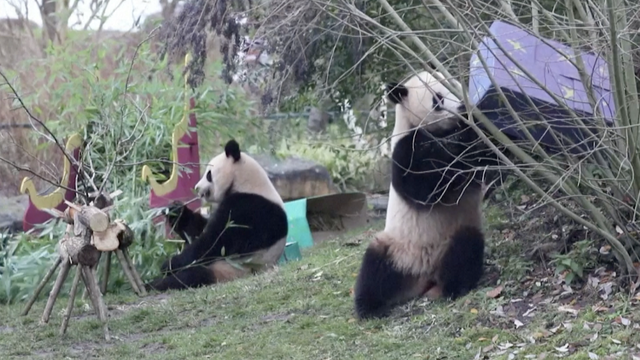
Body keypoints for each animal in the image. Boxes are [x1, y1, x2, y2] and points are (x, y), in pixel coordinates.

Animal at [146, 139, 288, 292]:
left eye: (209, 174)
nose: (196, 188)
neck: (246, 182)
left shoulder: (249, 209)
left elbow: (215, 241)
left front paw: (170, 264)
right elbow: (197, 229)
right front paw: (176, 211)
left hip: (228, 270)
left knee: (193, 276)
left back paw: (155, 284)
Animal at [356, 69, 504, 320]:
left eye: (455, 85)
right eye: (438, 99)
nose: (462, 107)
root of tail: (423, 277)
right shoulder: (405, 147)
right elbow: (424, 186)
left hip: (453, 237)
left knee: (464, 250)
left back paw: (453, 286)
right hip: (396, 247)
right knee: (373, 269)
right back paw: (369, 307)